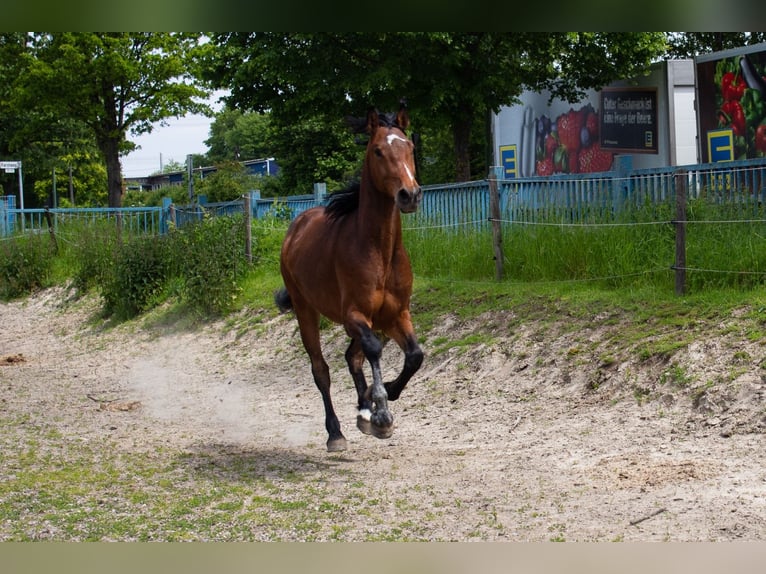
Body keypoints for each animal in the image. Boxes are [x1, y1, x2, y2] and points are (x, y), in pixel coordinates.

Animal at [274, 104, 424, 454]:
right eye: (378, 150)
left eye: (410, 147)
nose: (409, 195)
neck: (379, 251)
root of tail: (297, 227)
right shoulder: (353, 315)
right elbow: (372, 350)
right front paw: (380, 412)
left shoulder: (396, 314)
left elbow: (414, 356)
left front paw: (379, 399)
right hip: (306, 310)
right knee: (321, 370)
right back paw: (336, 433)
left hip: (373, 320)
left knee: (351, 356)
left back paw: (363, 408)